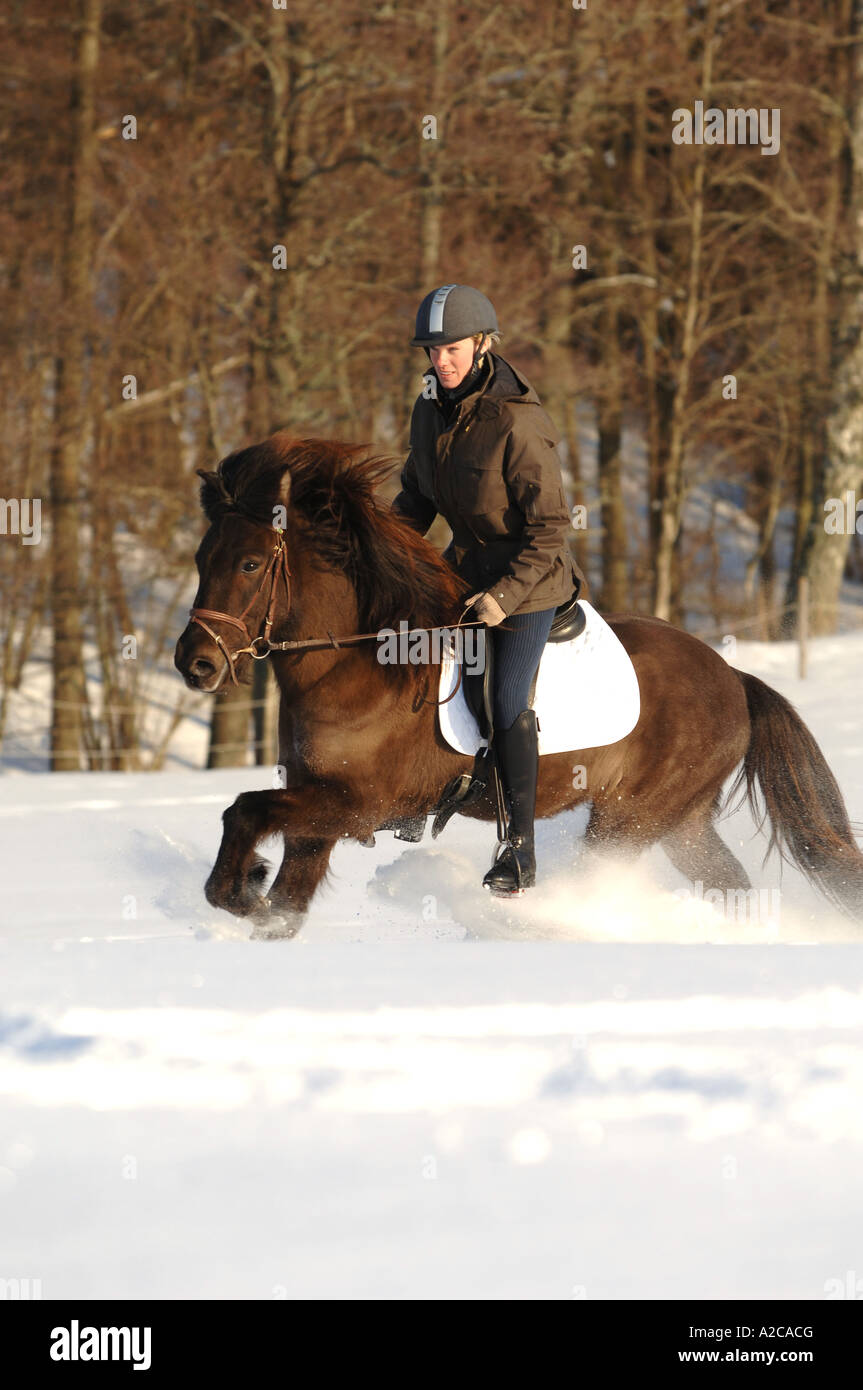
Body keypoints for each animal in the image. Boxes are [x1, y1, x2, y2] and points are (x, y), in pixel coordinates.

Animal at [174, 432, 863, 938]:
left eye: (250, 563)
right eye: (202, 560)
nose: (194, 664)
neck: (357, 664)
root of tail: (733, 677)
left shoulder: (358, 803)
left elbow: (244, 809)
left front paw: (242, 885)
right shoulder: (318, 804)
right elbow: (282, 900)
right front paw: (253, 895)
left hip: (630, 819)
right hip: (682, 823)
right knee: (732, 888)